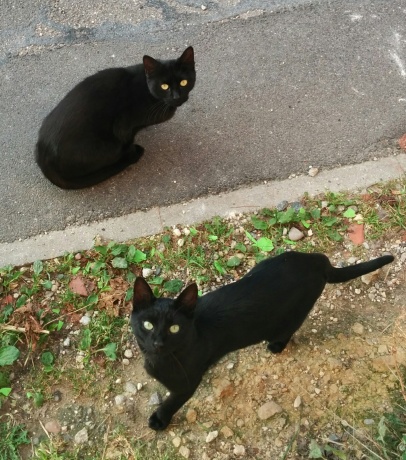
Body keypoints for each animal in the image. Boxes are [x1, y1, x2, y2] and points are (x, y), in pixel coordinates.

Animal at [35, 47, 195, 189]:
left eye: (184, 82)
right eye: (164, 86)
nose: (177, 97)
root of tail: (42, 156)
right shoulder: (124, 127)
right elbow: (128, 141)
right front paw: (132, 152)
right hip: (108, 145)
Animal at [131, 251, 394, 430]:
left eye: (174, 328)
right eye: (148, 325)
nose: (158, 342)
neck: (161, 359)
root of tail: (319, 261)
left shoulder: (188, 382)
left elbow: (172, 401)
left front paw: (159, 420)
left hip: (292, 315)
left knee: (287, 330)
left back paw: (276, 346)